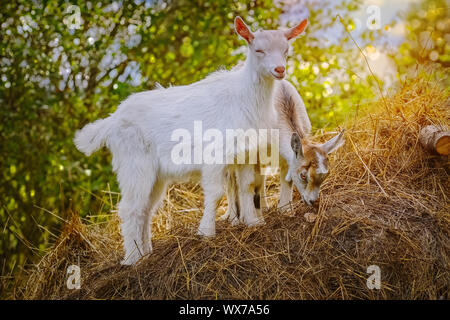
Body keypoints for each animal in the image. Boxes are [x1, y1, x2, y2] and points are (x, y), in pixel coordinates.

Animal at [73, 15, 310, 264]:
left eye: (286, 50)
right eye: (259, 50)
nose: (279, 69)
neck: (244, 96)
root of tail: (112, 120)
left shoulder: (245, 153)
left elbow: (248, 186)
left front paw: (254, 223)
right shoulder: (215, 155)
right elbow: (216, 193)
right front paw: (206, 232)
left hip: (155, 175)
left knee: (146, 208)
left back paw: (146, 252)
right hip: (134, 164)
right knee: (131, 207)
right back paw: (132, 259)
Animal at [223, 79, 346, 225]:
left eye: (326, 175)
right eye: (303, 175)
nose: (313, 201)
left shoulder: (287, 157)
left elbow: (285, 180)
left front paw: (285, 210)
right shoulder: (253, 154)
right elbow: (249, 182)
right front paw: (254, 221)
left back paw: (263, 207)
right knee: (231, 180)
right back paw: (233, 217)